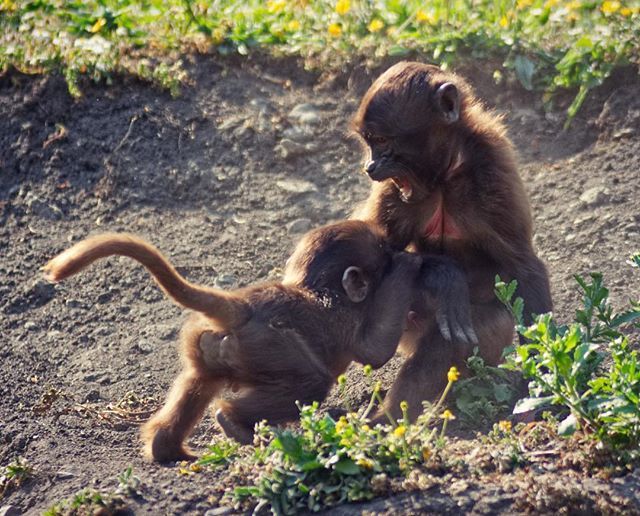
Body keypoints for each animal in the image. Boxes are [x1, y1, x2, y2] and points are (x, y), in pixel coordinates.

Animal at [43, 220, 475, 461]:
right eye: (380, 263)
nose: (395, 250)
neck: (312, 286)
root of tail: (242, 306)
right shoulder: (347, 316)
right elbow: (374, 351)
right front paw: (410, 262)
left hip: (209, 346)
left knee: (199, 383)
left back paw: (168, 450)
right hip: (268, 347)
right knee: (310, 383)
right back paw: (234, 424)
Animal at [350, 61, 552, 421]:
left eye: (383, 140)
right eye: (369, 142)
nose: (370, 166)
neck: (446, 174)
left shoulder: (491, 172)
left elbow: (524, 267)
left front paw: (544, 382)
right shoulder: (395, 191)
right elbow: (374, 255)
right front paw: (445, 275)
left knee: (458, 334)